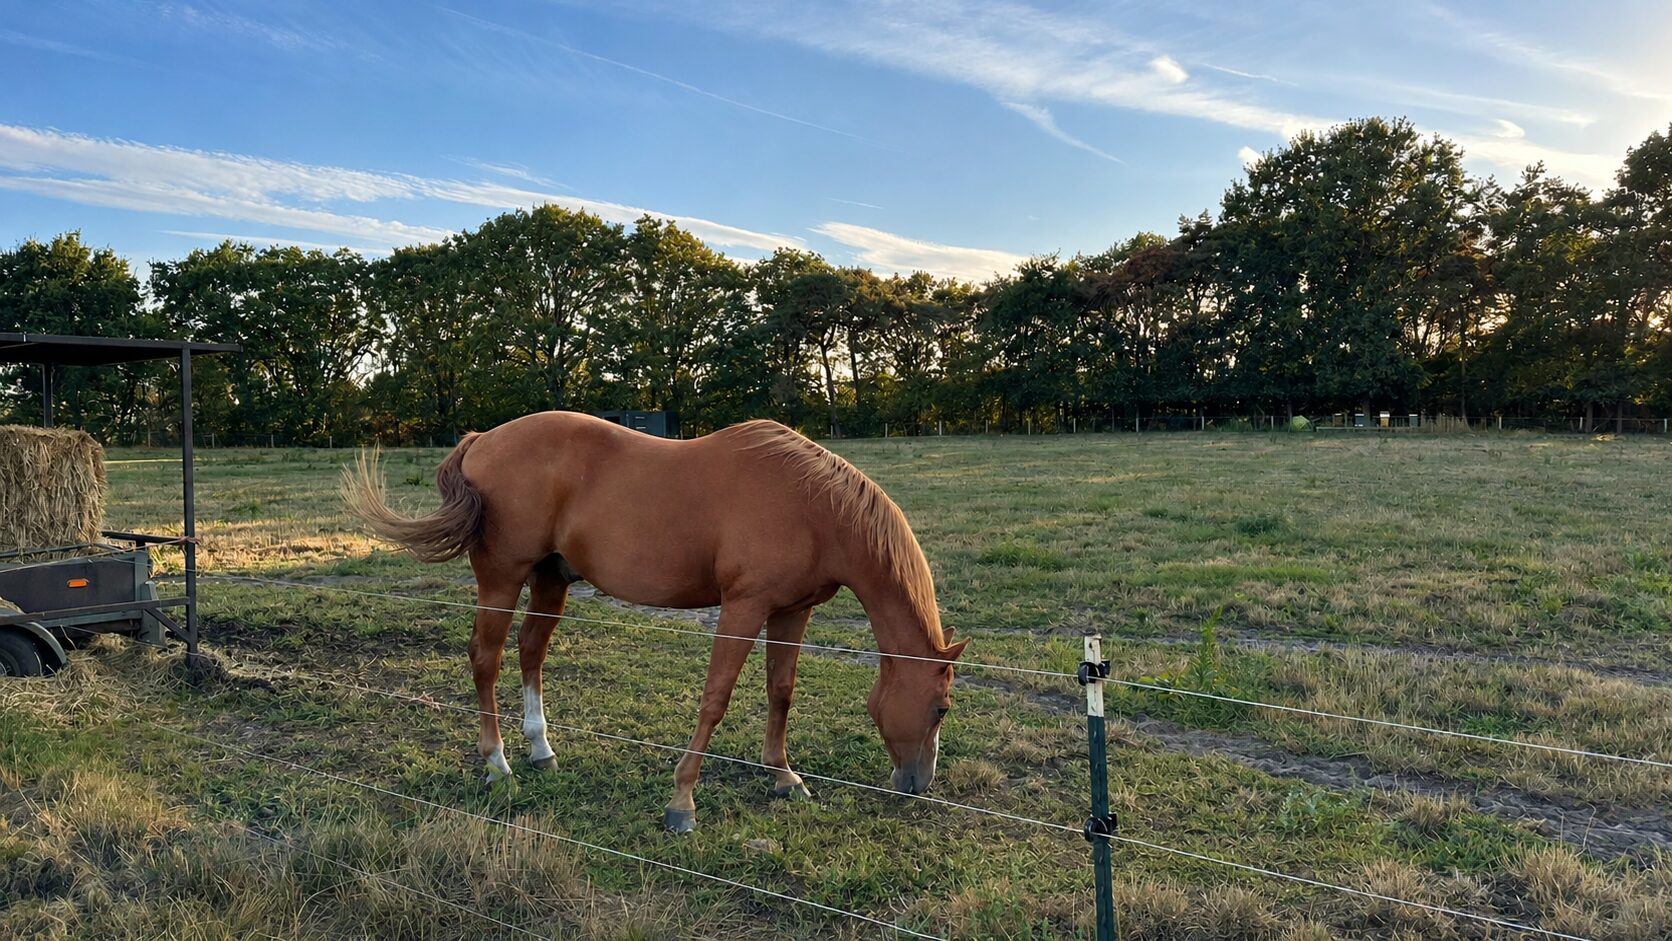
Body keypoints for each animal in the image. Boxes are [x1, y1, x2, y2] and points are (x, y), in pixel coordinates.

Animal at [342, 411, 968, 832]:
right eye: (940, 708)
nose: (918, 785)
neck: (815, 508)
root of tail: (481, 441)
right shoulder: (743, 606)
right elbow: (715, 698)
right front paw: (682, 802)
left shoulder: (792, 610)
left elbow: (781, 691)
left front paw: (784, 776)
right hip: (501, 578)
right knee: (486, 658)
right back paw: (498, 764)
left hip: (550, 579)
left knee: (530, 651)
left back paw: (540, 750)